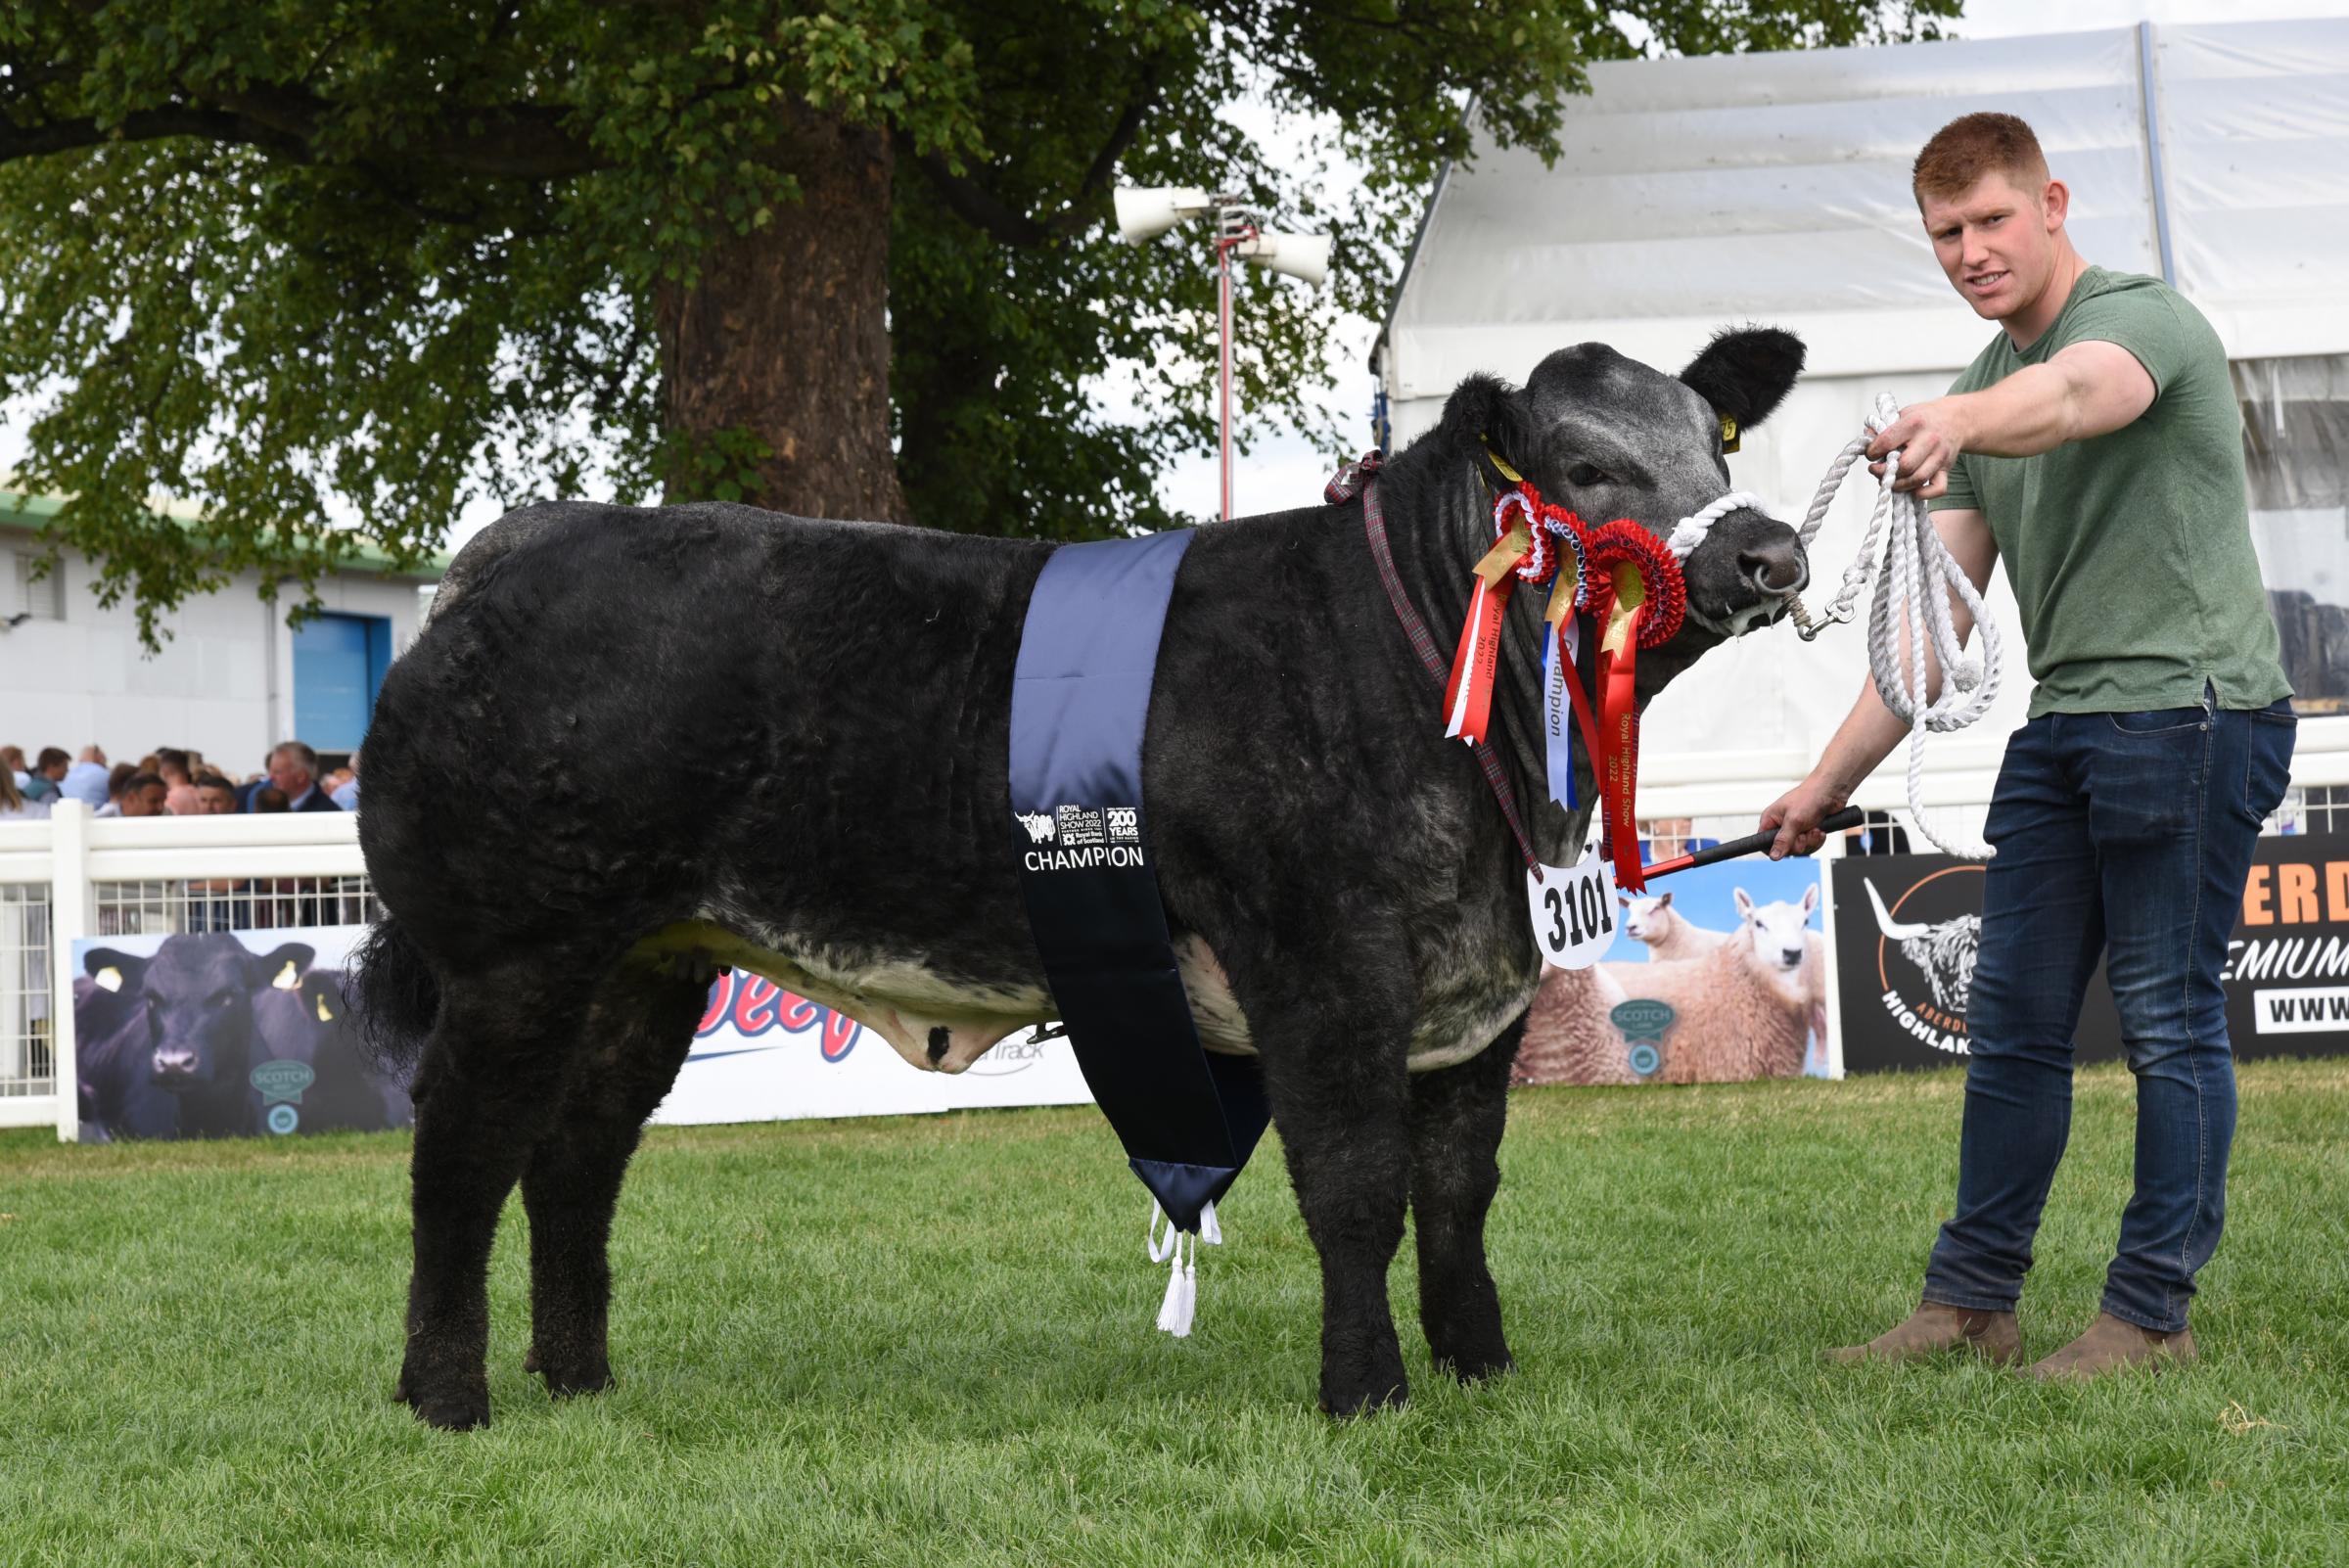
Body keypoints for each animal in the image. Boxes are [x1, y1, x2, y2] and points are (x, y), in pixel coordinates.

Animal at [356, 331, 1804, 1436]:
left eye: (1718, 445)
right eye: (1586, 466)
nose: (1771, 553)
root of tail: (529, 541)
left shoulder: (1479, 987)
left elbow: (1458, 1191)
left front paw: (1480, 1370)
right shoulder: (1324, 968)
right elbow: (1356, 1188)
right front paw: (1367, 1392)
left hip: (647, 959)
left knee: (576, 1154)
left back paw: (578, 1378)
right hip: (515, 956)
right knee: (462, 1153)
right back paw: (446, 1397)